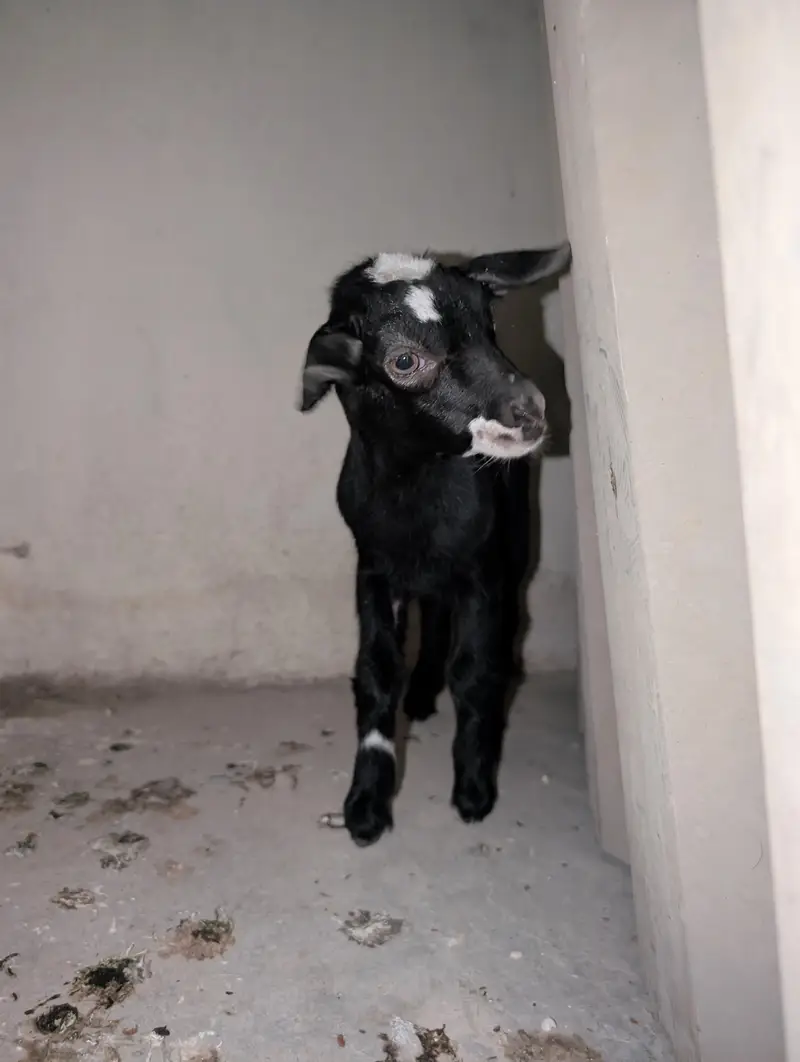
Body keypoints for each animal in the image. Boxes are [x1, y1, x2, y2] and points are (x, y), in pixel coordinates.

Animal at [298, 244, 571, 846]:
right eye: (404, 361)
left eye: (490, 325)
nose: (531, 409)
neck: (415, 489)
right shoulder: (374, 570)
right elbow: (376, 671)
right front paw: (365, 805)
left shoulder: (481, 572)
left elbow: (472, 672)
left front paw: (473, 788)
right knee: (435, 618)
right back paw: (421, 695)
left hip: (513, 551)